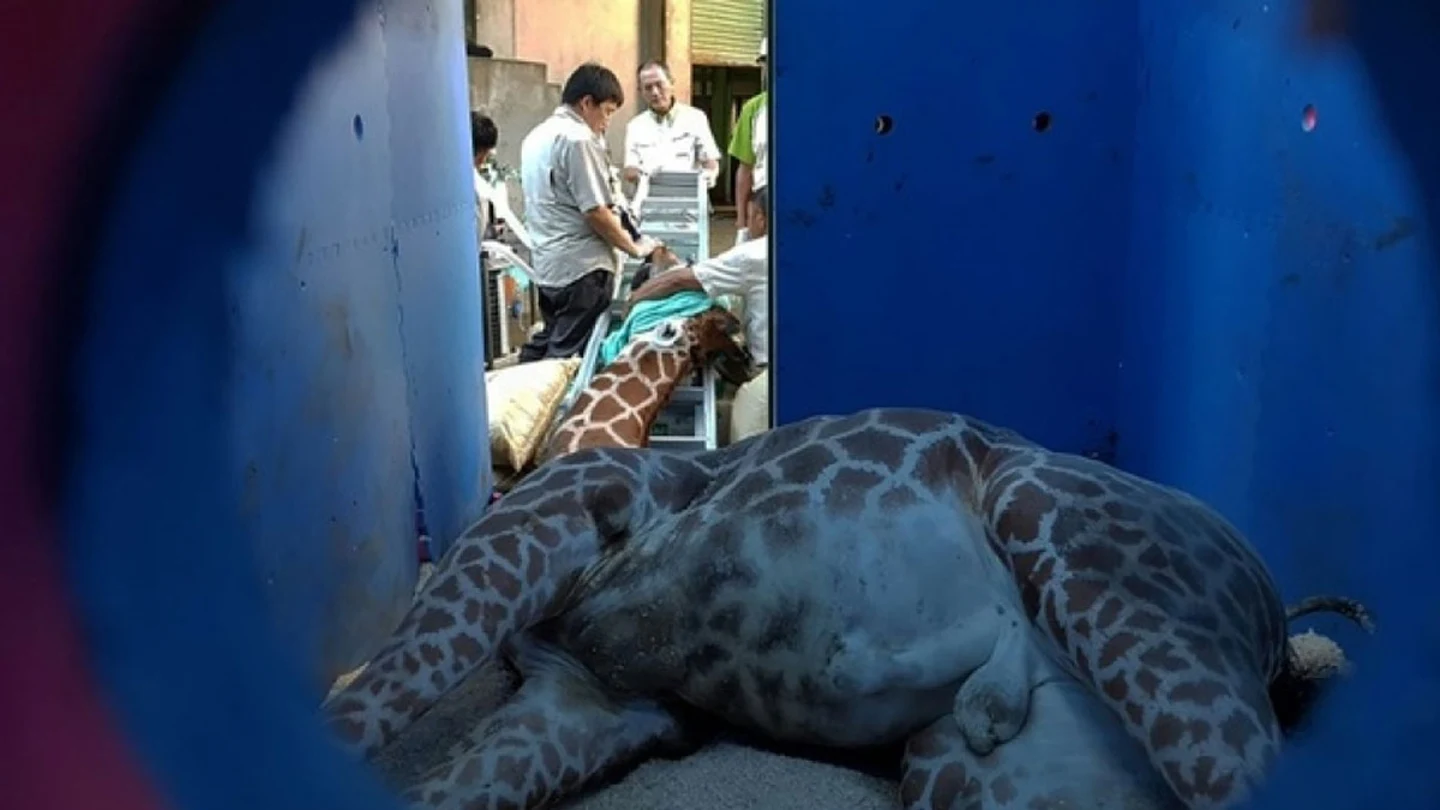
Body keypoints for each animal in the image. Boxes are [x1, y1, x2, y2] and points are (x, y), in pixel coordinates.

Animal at [320, 407, 1371, 810]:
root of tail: (1281, 633)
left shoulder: (547, 523)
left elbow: (372, 698)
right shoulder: (582, 696)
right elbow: (436, 787)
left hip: (1056, 527)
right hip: (969, 766)